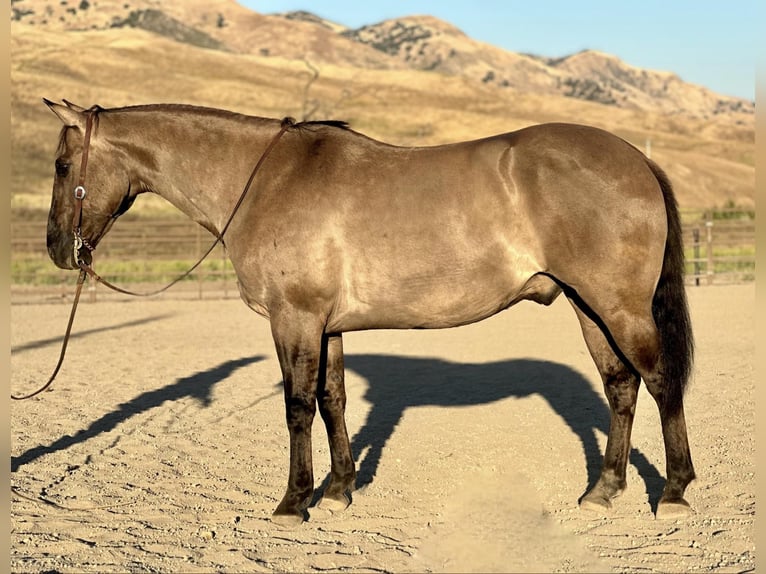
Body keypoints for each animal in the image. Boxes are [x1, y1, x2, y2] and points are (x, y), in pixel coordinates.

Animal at [43, 99, 695, 525]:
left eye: (61, 166)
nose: (56, 249)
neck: (265, 180)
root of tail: (635, 159)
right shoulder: (325, 326)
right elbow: (332, 400)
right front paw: (338, 491)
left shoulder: (294, 318)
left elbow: (297, 407)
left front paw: (293, 502)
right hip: (589, 306)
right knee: (621, 386)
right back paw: (604, 490)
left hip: (618, 307)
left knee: (661, 382)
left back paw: (674, 493)